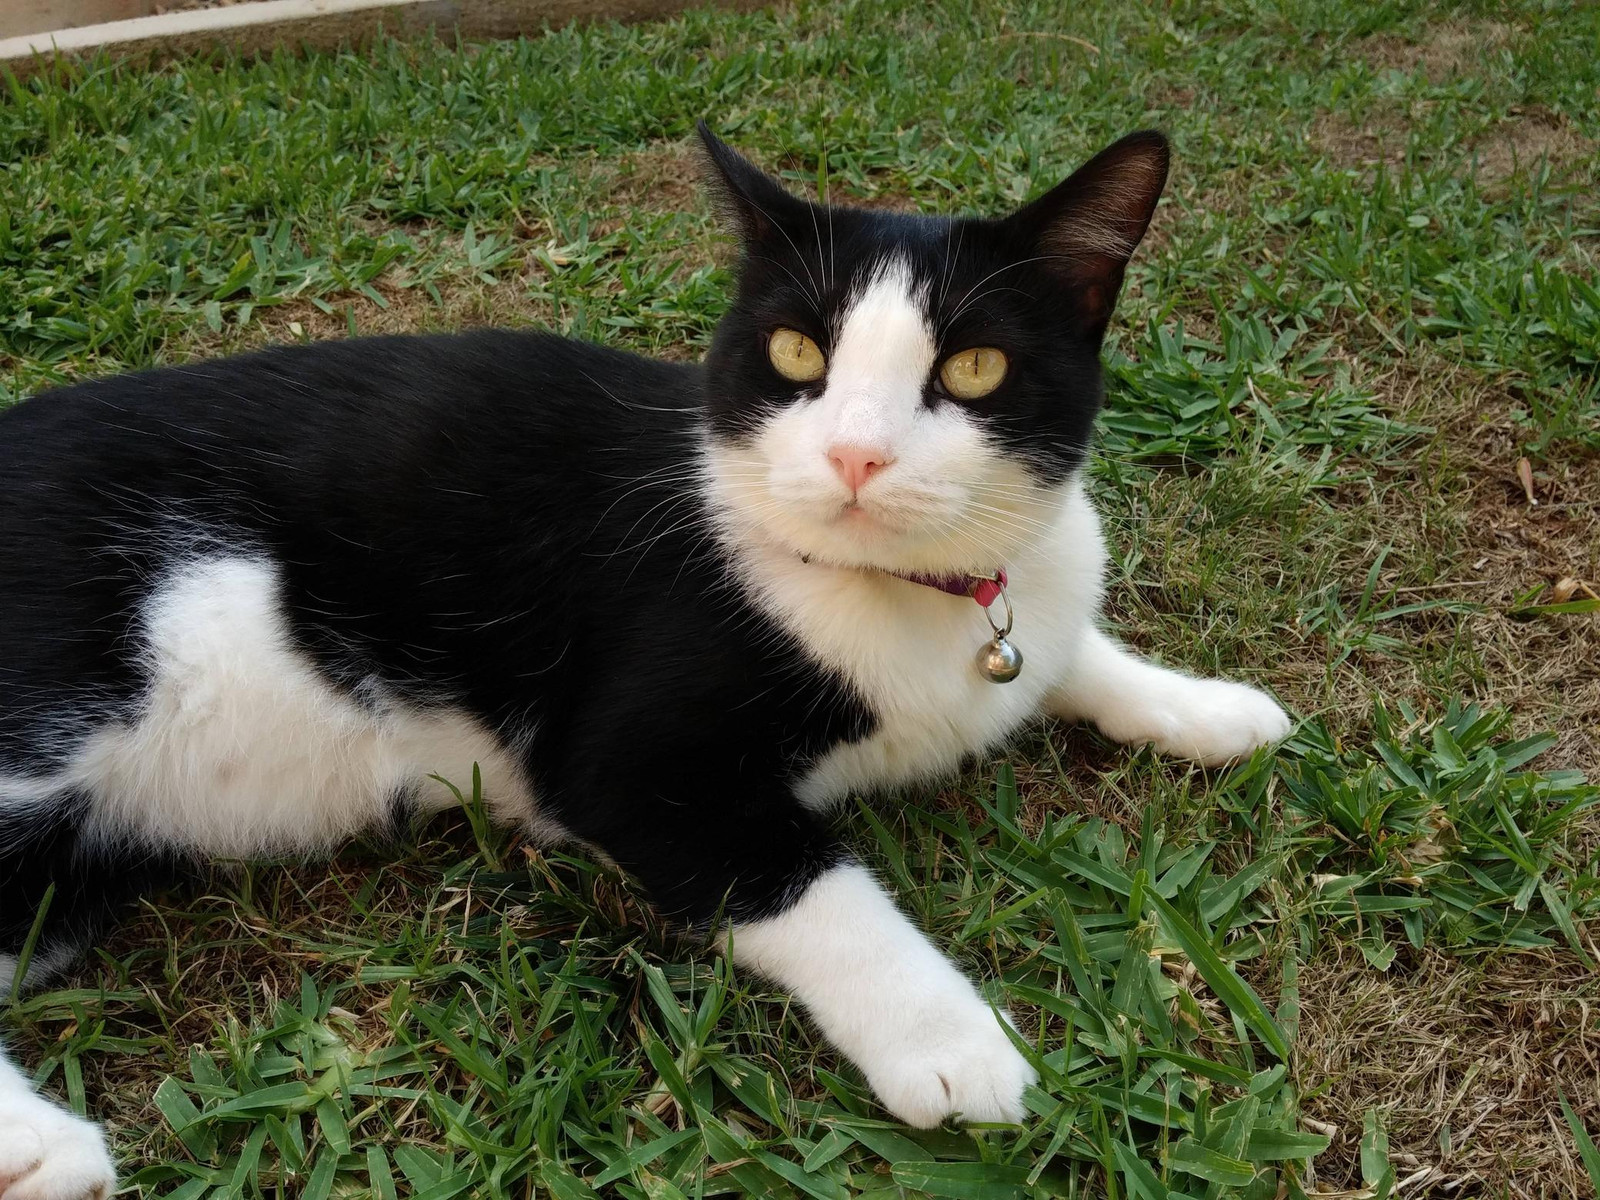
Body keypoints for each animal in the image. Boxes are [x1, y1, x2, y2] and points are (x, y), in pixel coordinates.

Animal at [0, 124, 1289, 1198]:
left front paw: (1203, 707)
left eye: (972, 368)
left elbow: (1067, 652)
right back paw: (43, 1154)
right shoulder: (619, 767)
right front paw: (952, 1043)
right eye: (794, 351)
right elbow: (811, 884)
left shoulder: (1022, 610)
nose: (857, 456)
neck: (904, 595)